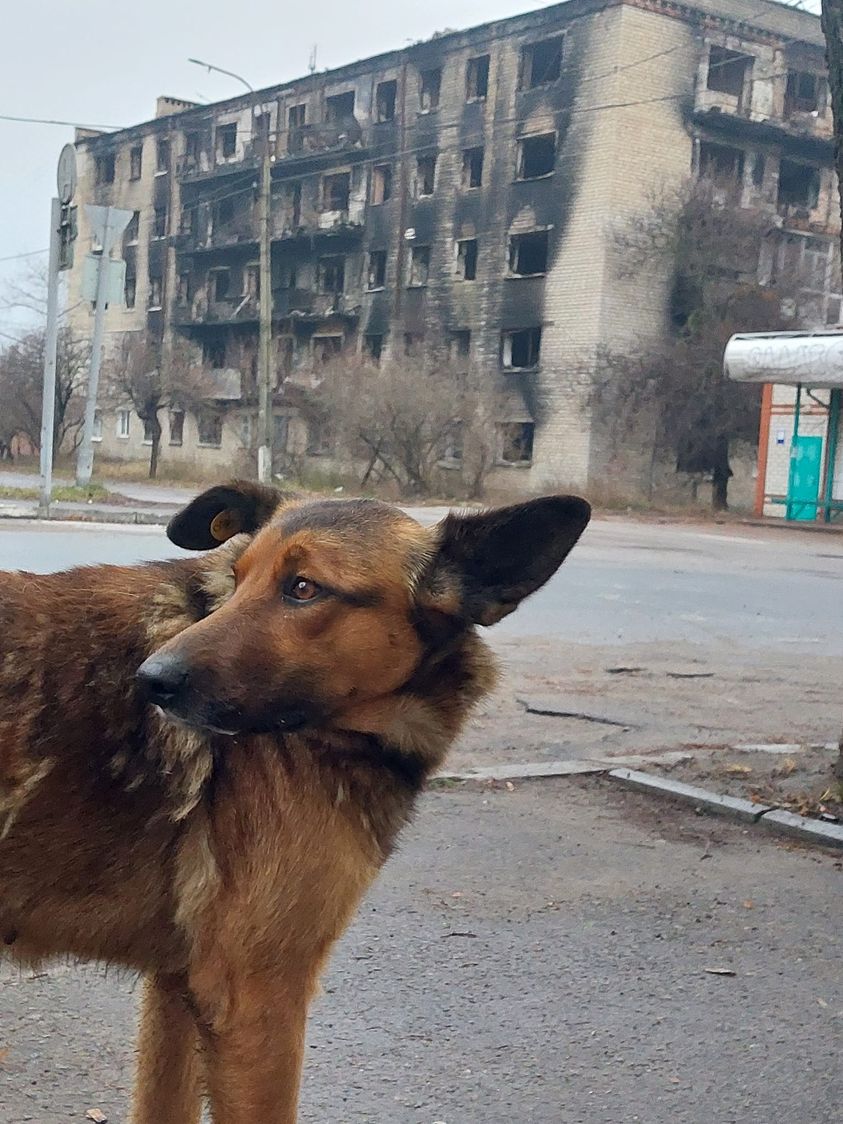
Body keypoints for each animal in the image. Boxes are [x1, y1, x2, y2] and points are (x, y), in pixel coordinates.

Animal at [0, 481, 588, 1115]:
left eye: (303, 588)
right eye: (237, 577)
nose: (148, 681)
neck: (339, 731)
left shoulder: (179, 988)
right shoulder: (257, 1003)